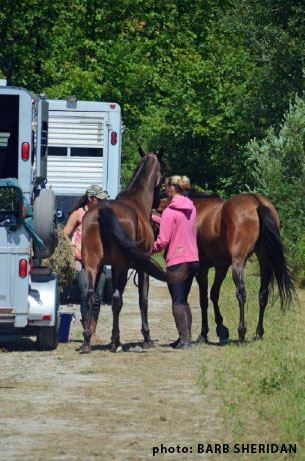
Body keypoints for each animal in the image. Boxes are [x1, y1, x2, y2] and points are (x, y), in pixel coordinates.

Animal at [79, 147, 185, 352]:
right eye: (163, 172)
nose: (158, 202)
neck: (137, 200)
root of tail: (102, 212)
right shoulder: (141, 267)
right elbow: (143, 299)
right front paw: (147, 337)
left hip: (92, 264)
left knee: (89, 296)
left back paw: (87, 341)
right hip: (121, 266)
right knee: (116, 299)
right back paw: (116, 341)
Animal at [156, 189, 294, 344]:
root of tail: (256, 202)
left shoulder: (202, 270)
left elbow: (203, 300)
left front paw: (204, 334)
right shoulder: (221, 267)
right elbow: (214, 294)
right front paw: (221, 329)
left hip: (238, 262)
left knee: (241, 293)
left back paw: (241, 333)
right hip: (264, 261)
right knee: (263, 294)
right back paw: (258, 333)